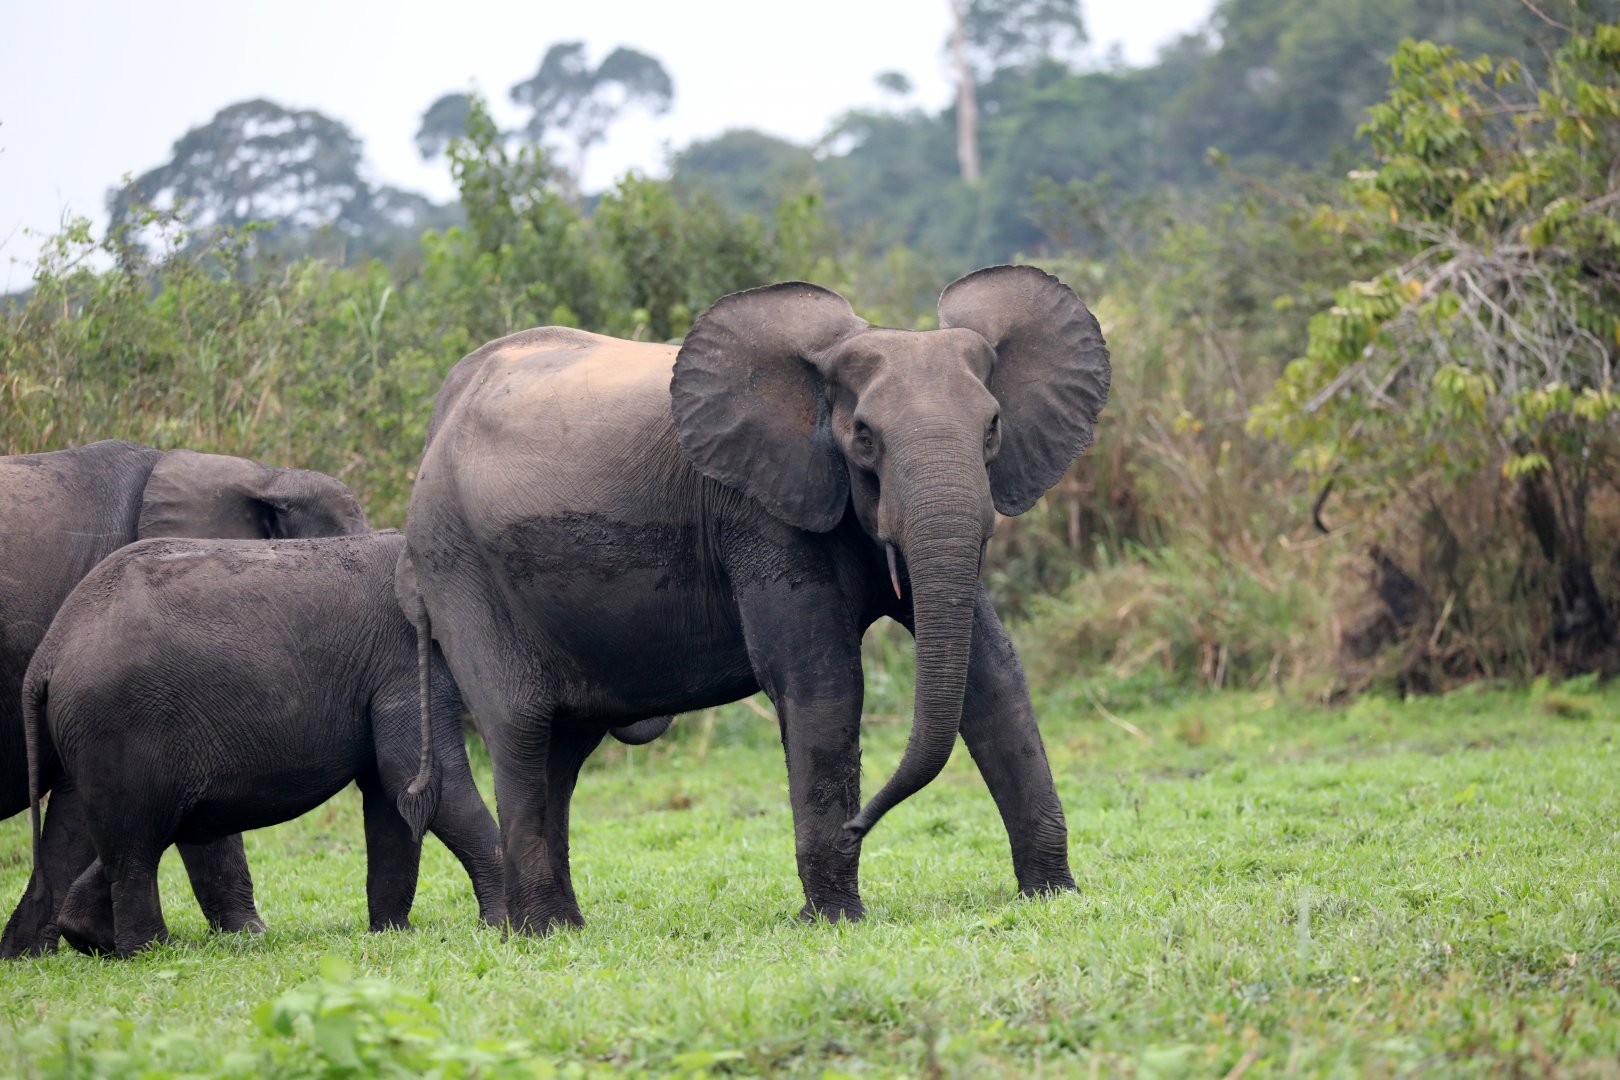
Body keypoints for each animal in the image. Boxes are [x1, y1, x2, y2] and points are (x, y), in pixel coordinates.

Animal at [13, 530, 504, 958]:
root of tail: (48, 654)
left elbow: (394, 796)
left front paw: (393, 934)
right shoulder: (405, 656)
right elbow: (423, 782)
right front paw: (502, 925)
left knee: (146, 831)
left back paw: (93, 938)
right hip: (119, 724)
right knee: (138, 843)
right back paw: (151, 952)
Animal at [399, 264, 1110, 934]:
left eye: (992, 428)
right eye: (864, 437)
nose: (861, 823)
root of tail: (437, 417)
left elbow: (994, 672)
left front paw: (1054, 896)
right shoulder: (757, 510)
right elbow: (821, 682)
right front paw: (836, 919)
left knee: (563, 749)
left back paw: (560, 929)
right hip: (455, 562)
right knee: (521, 729)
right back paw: (541, 933)